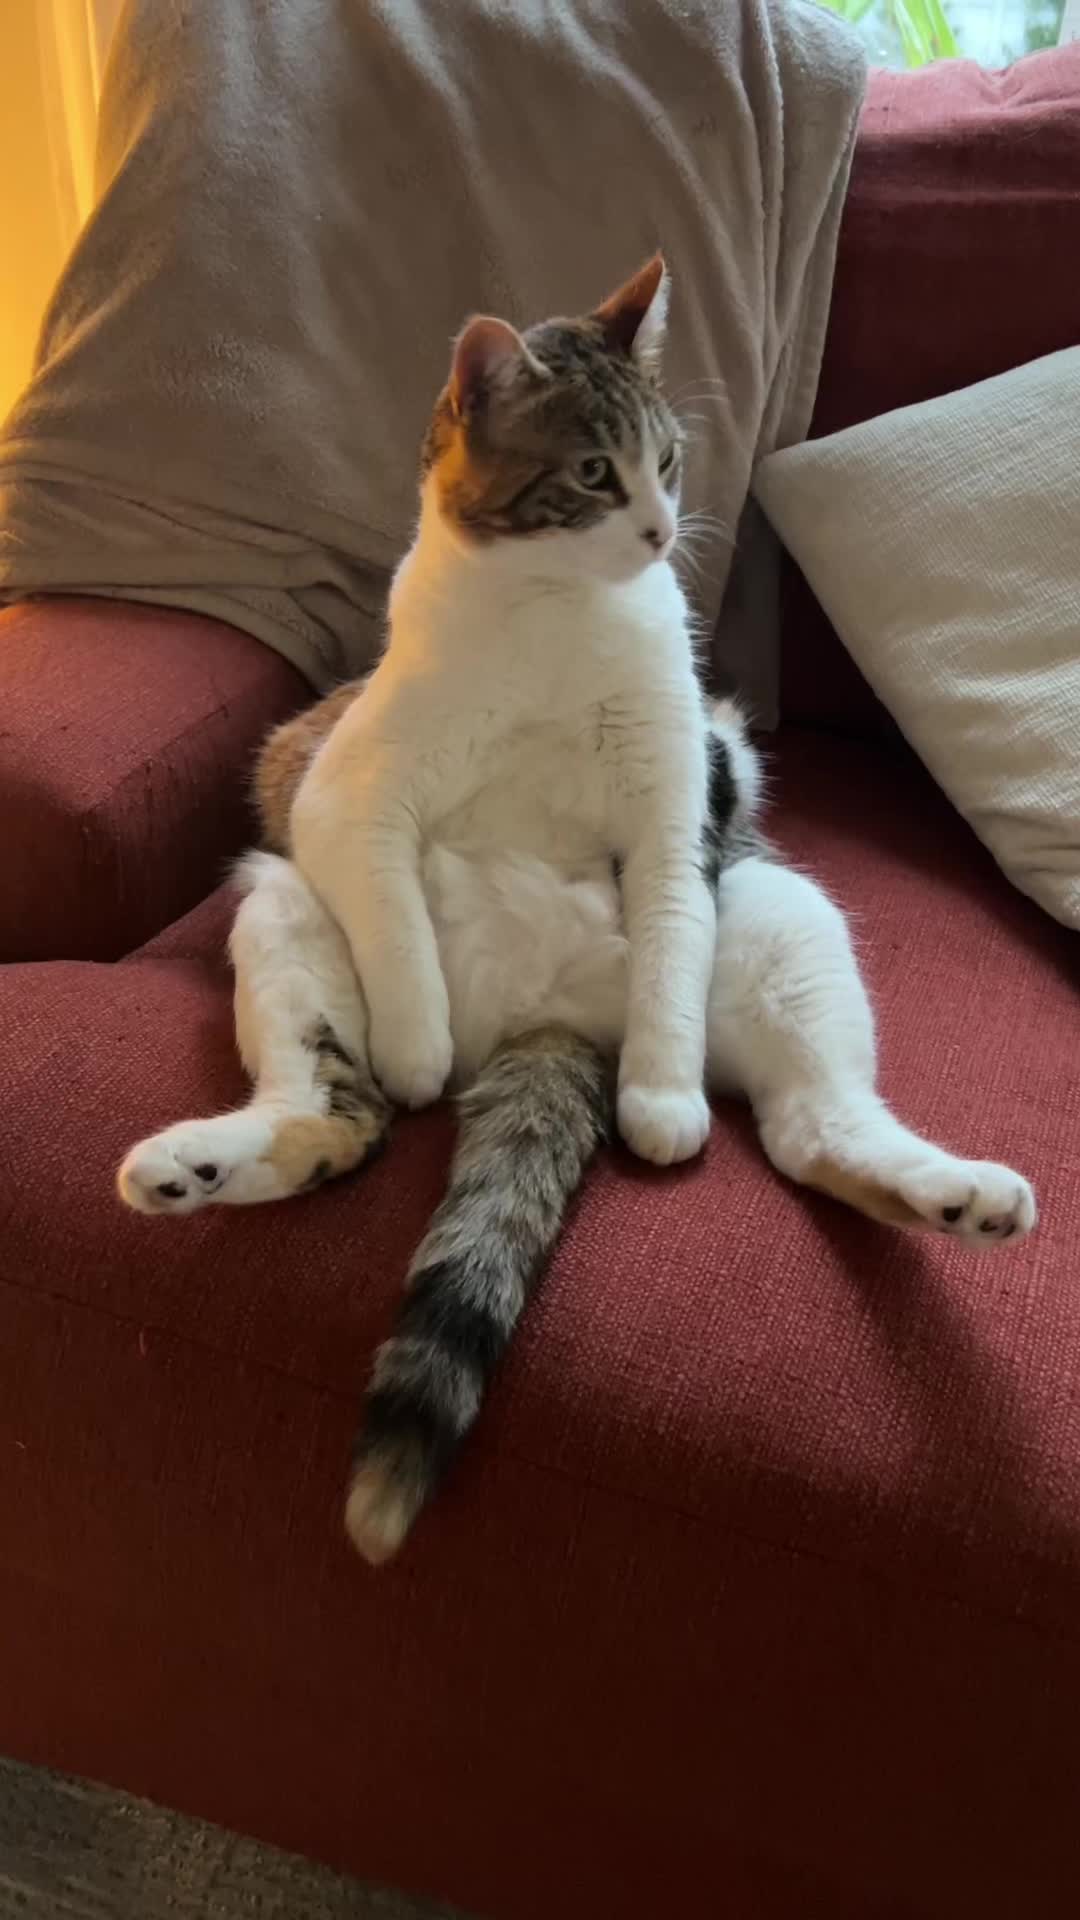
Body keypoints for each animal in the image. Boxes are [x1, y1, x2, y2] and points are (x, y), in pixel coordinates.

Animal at [118, 257, 1036, 1564]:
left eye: (670, 458)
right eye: (596, 473)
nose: (660, 531)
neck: (556, 606)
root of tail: (541, 1025)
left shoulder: (679, 806)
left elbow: (669, 956)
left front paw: (659, 1098)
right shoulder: (340, 794)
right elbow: (396, 934)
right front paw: (420, 1043)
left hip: (779, 910)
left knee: (813, 1131)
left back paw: (960, 1196)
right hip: (282, 902)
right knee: (341, 1115)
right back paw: (196, 1167)